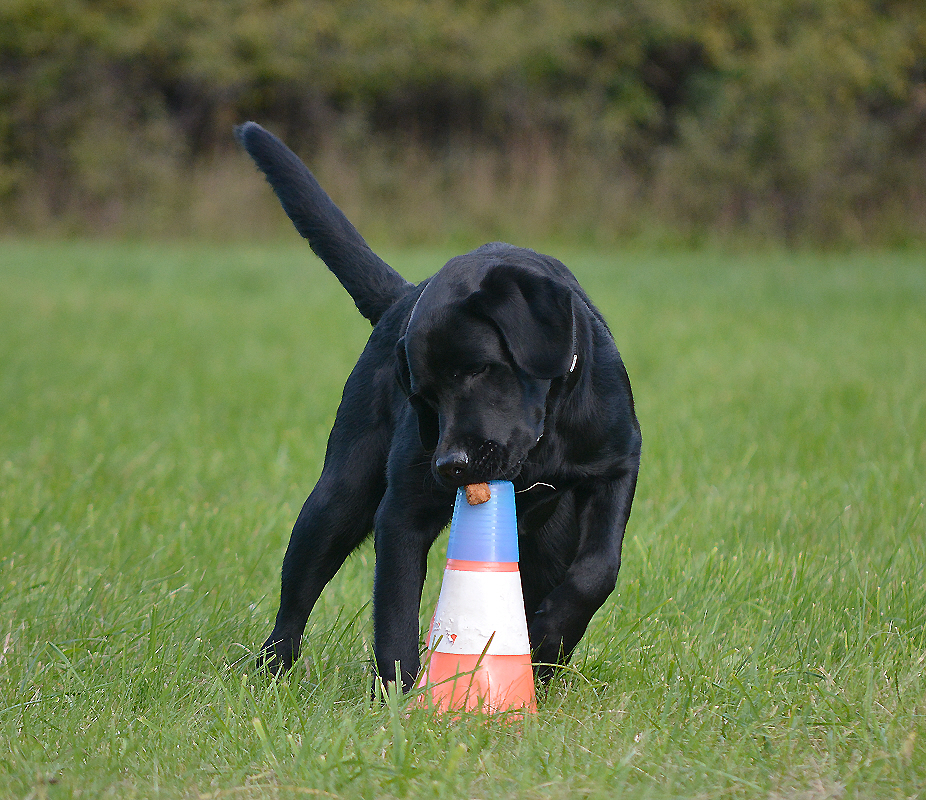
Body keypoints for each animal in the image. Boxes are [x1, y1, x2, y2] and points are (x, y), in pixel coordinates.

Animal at [236, 122, 640, 692]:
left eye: (478, 369)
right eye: (423, 398)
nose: (451, 465)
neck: (544, 446)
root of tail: (401, 296)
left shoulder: (616, 465)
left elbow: (598, 568)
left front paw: (547, 638)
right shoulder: (403, 510)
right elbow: (396, 613)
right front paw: (401, 698)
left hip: (550, 535)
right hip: (339, 496)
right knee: (297, 593)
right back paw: (272, 670)